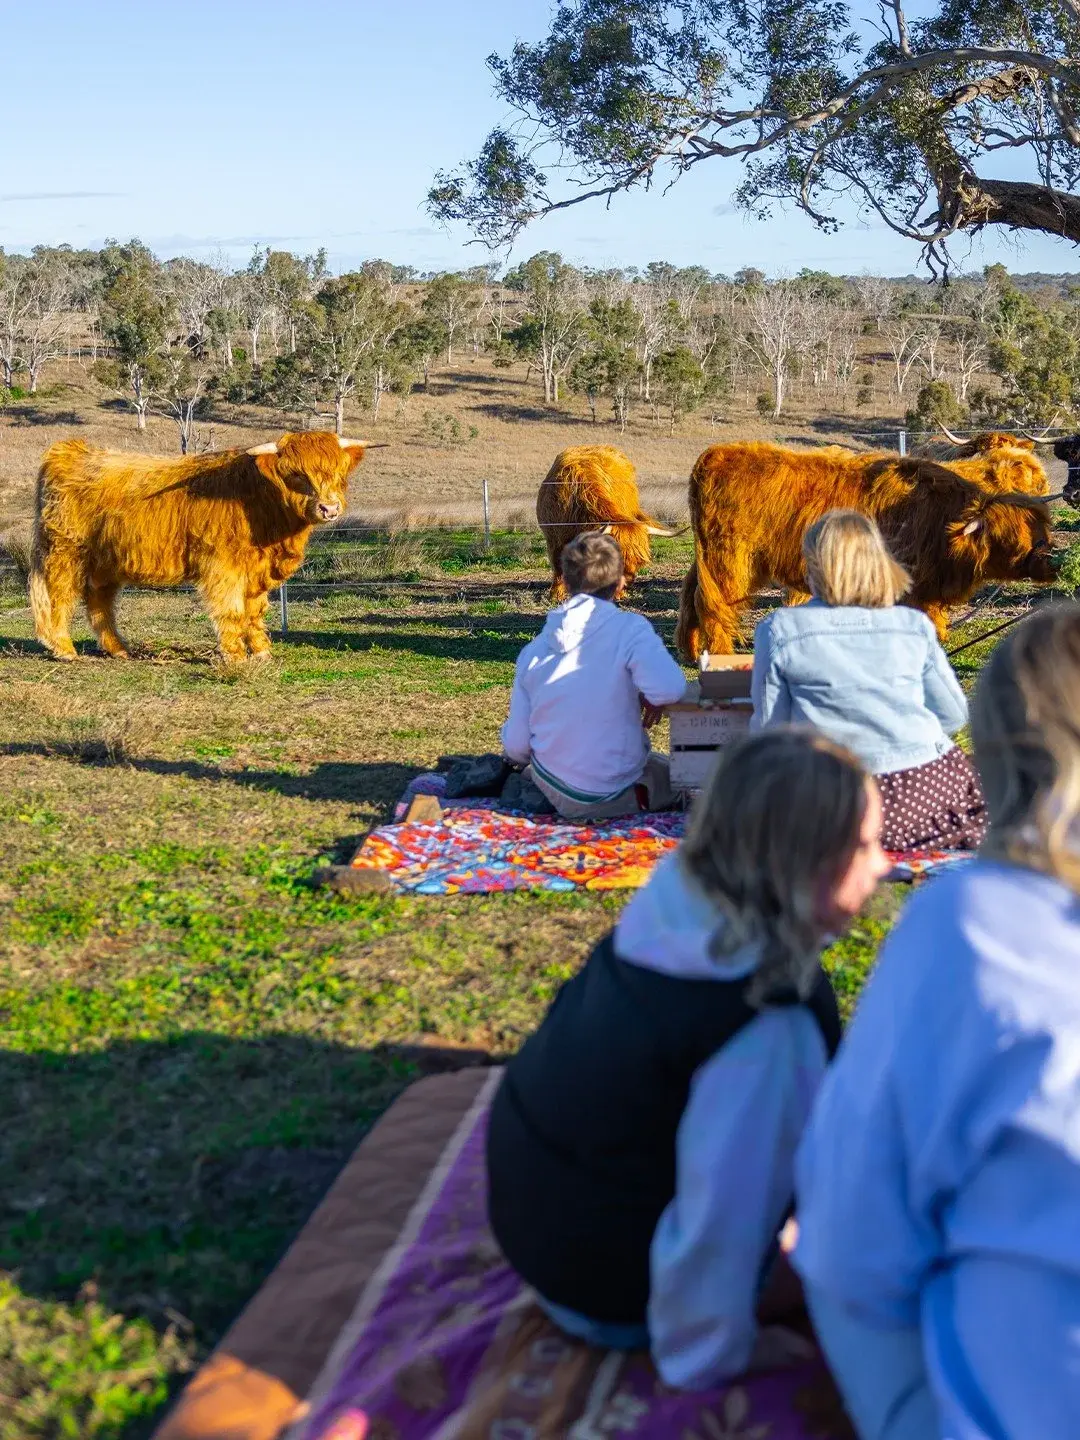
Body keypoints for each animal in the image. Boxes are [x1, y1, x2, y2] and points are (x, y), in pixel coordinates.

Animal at [30, 431, 373, 663]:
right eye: (298, 474)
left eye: (339, 474)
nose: (330, 508)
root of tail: (68, 450)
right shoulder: (223, 567)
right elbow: (231, 611)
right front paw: (235, 655)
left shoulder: (256, 571)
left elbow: (254, 612)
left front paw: (262, 652)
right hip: (65, 551)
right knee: (59, 596)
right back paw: (63, 649)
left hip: (106, 560)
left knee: (99, 601)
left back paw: (119, 649)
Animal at [674, 441, 1056, 660]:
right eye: (1017, 535)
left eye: (1042, 527)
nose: (1047, 559)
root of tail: (716, 454)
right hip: (730, 559)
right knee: (715, 606)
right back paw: (719, 656)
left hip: (709, 556)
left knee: (691, 595)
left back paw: (690, 651)